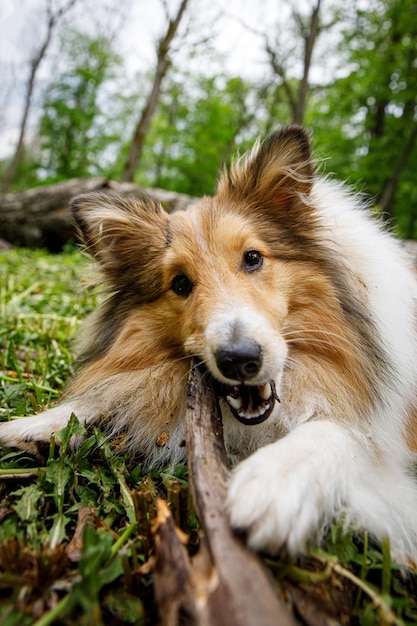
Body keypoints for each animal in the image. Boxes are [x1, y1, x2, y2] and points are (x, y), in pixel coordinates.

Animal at [0, 127, 416, 560]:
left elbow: (343, 433)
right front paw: (37, 425)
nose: (239, 360)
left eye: (253, 258)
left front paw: (279, 477)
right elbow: (108, 396)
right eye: (180, 283)